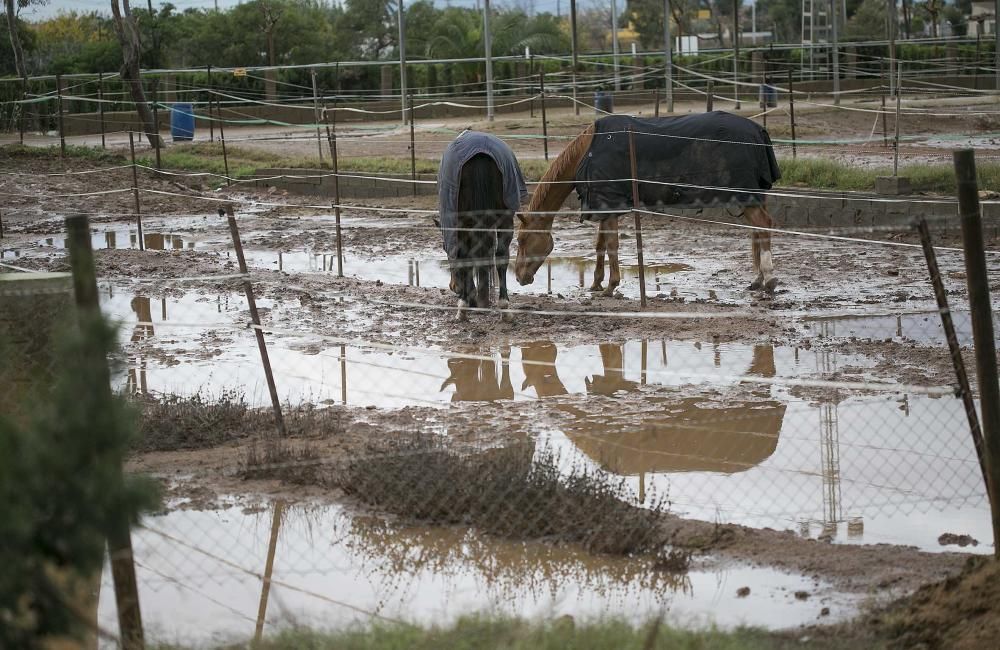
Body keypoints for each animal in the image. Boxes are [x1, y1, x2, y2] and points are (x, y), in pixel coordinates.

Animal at [440, 128, 532, 318]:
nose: (453, 286)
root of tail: (481, 153)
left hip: (462, 221)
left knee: (465, 256)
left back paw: (463, 307)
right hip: (505, 218)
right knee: (501, 256)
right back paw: (504, 306)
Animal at [516, 114, 780, 296]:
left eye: (521, 239)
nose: (519, 277)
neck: (588, 151)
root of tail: (758, 131)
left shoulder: (609, 206)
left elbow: (611, 246)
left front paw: (610, 286)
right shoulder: (605, 205)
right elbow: (600, 245)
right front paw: (596, 283)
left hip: (746, 197)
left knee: (763, 225)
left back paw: (769, 279)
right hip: (751, 197)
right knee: (758, 232)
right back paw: (757, 280)